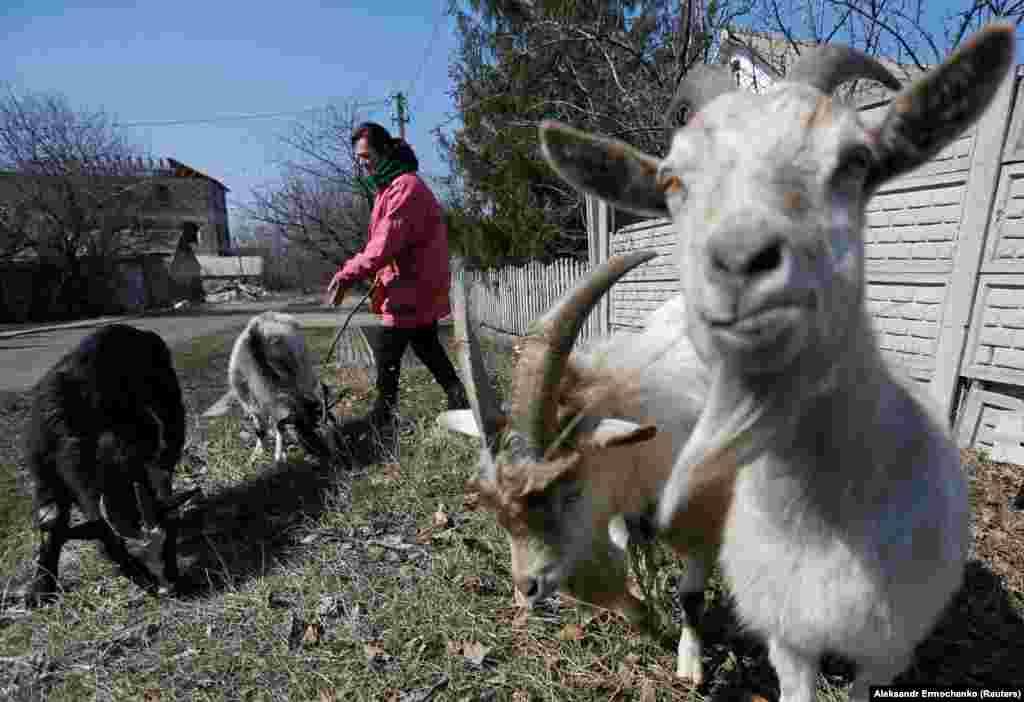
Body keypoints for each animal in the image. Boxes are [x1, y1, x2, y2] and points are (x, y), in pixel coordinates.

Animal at [22, 325, 192, 605]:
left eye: (169, 541)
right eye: (123, 552)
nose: (168, 590)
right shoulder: (43, 471)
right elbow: (51, 520)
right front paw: (41, 589)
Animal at [228, 313, 335, 464]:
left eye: (315, 428)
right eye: (300, 433)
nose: (324, 457)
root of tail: (269, 314)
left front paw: (279, 455)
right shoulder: (250, 403)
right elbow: (260, 430)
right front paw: (259, 453)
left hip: (305, 370)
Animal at [536, 24, 1015, 702]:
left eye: (856, 161)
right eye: (672, 182)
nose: (739, 262)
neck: (824, 522)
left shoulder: (890, 648)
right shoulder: (787, 638)